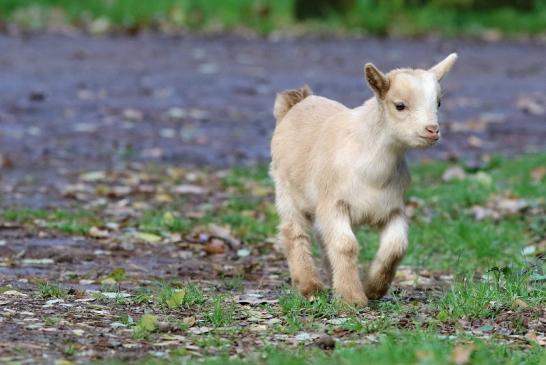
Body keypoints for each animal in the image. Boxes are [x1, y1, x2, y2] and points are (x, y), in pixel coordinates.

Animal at [270, 53, 454, 304]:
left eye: (438, 103)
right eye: (400, 105)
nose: (432, 130)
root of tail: (297, 101)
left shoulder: (393, 207)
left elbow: (396, 246)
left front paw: (373, 288)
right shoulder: (334, 203)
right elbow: (346, 245)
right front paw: (352, 297)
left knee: (321, 236)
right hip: (286, 191)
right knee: (293, 232)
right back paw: (311, 287)